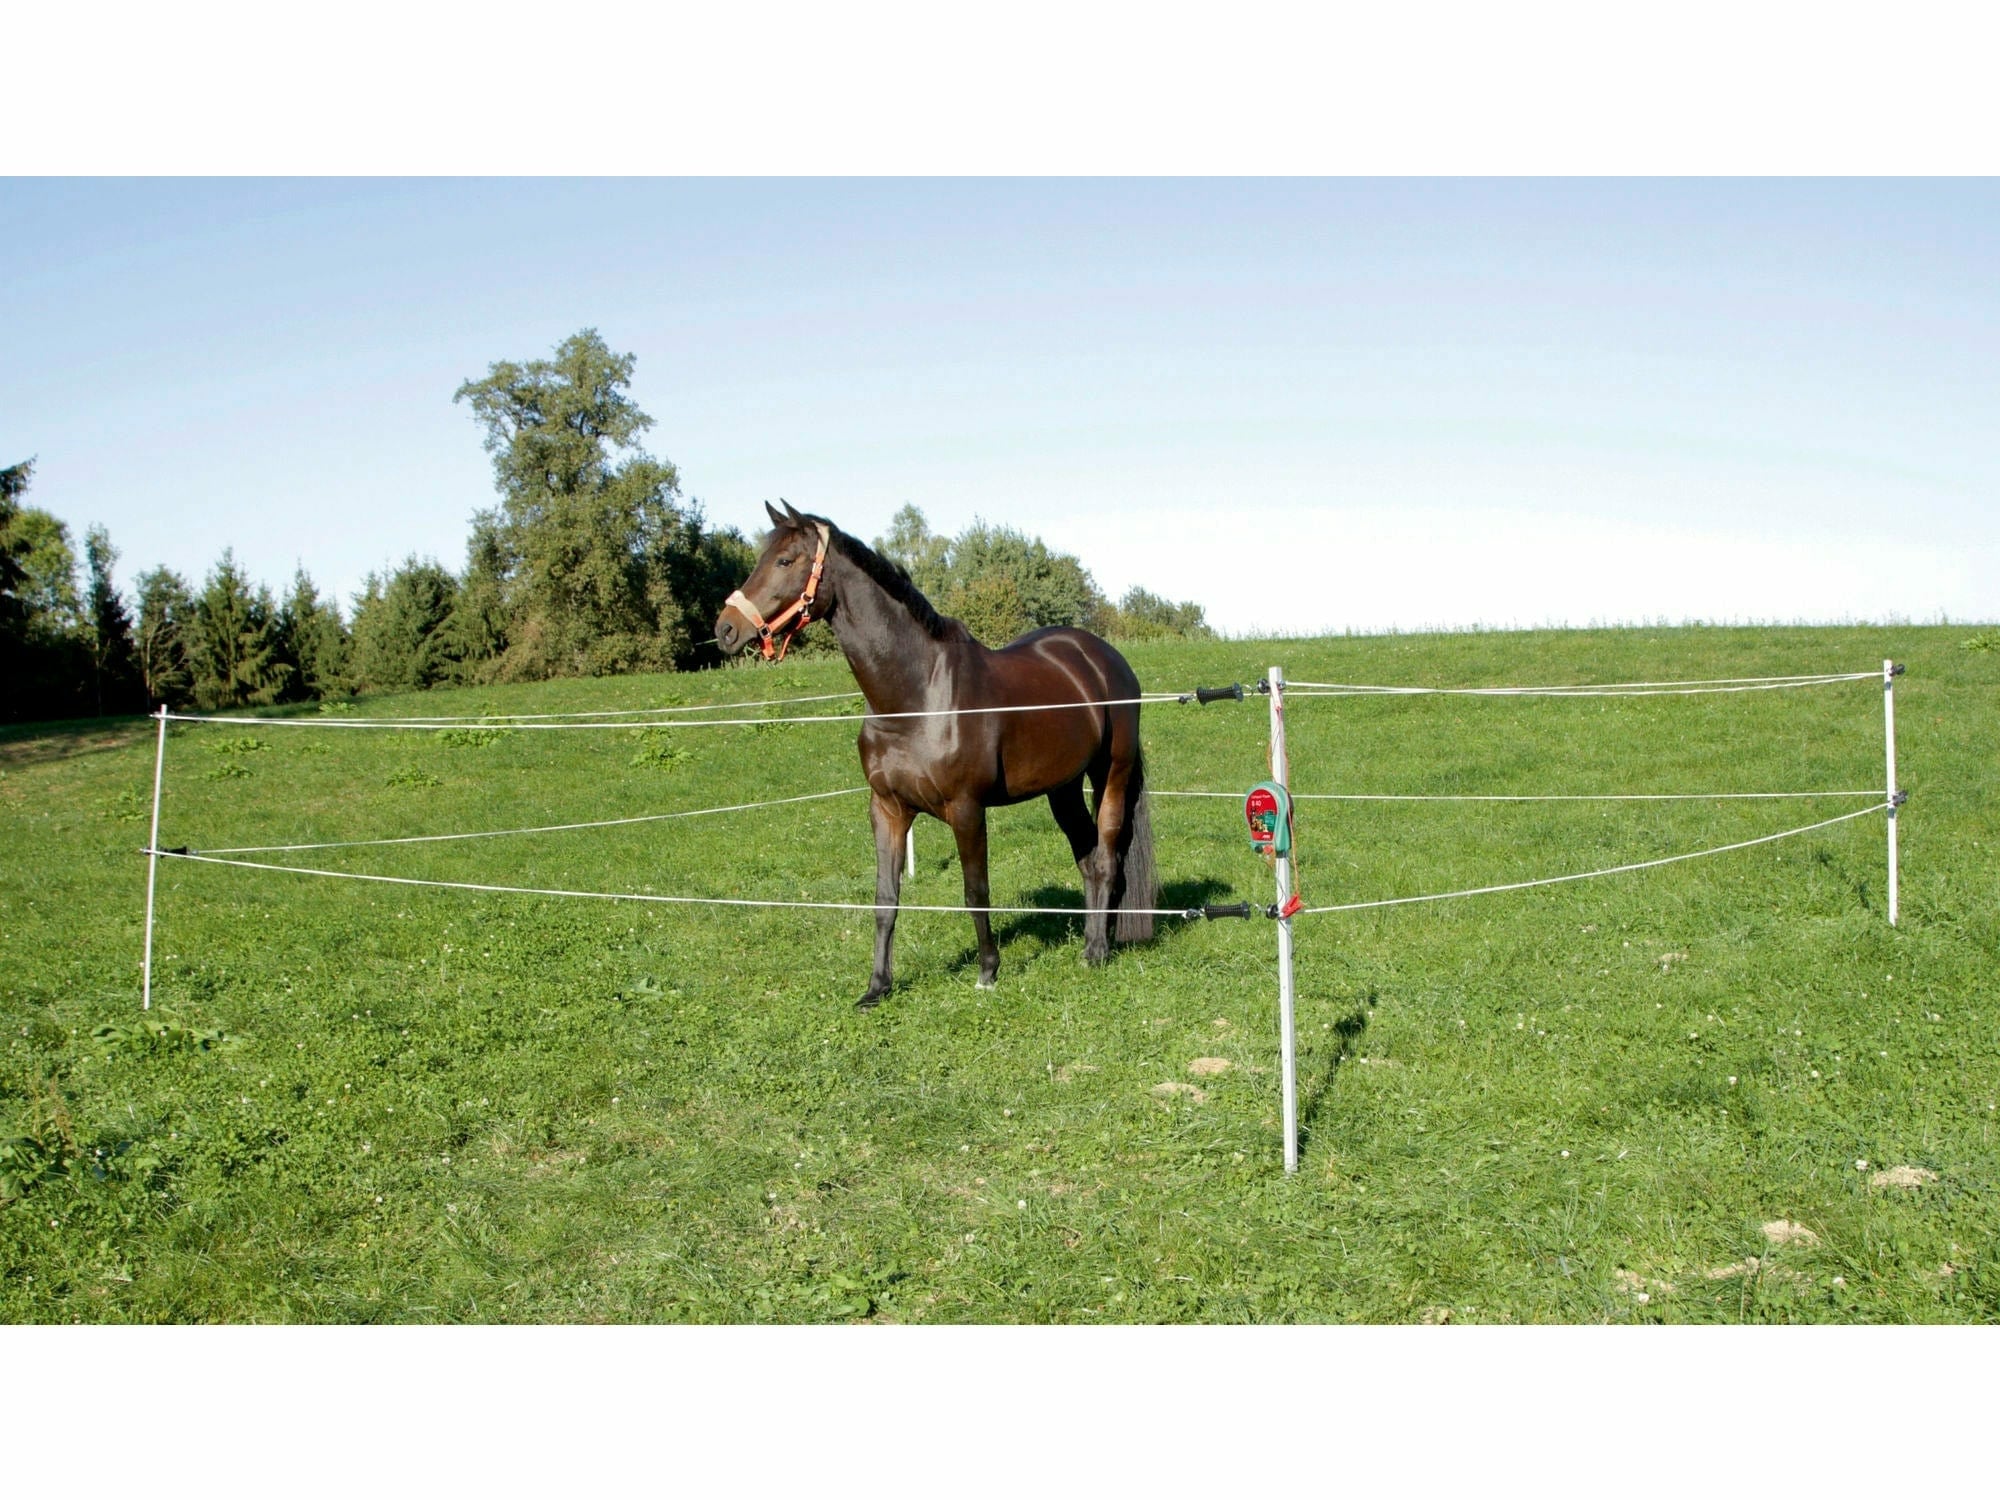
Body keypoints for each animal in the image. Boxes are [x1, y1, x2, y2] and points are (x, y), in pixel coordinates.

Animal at [716, 500, 1156, 1009]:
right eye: (761, 559)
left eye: (786, 561)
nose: (726, 628)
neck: (916, 696)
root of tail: (1104, 659)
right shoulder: (886, 809)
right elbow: (886, 898)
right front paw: (877, 987)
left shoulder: (966, 809)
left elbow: (975, 890)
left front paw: (988, 972)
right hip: (1061, 788)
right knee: (1087, 859)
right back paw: (1091, 940)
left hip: (1112, 774)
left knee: (1106, 858)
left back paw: (1098, 952)